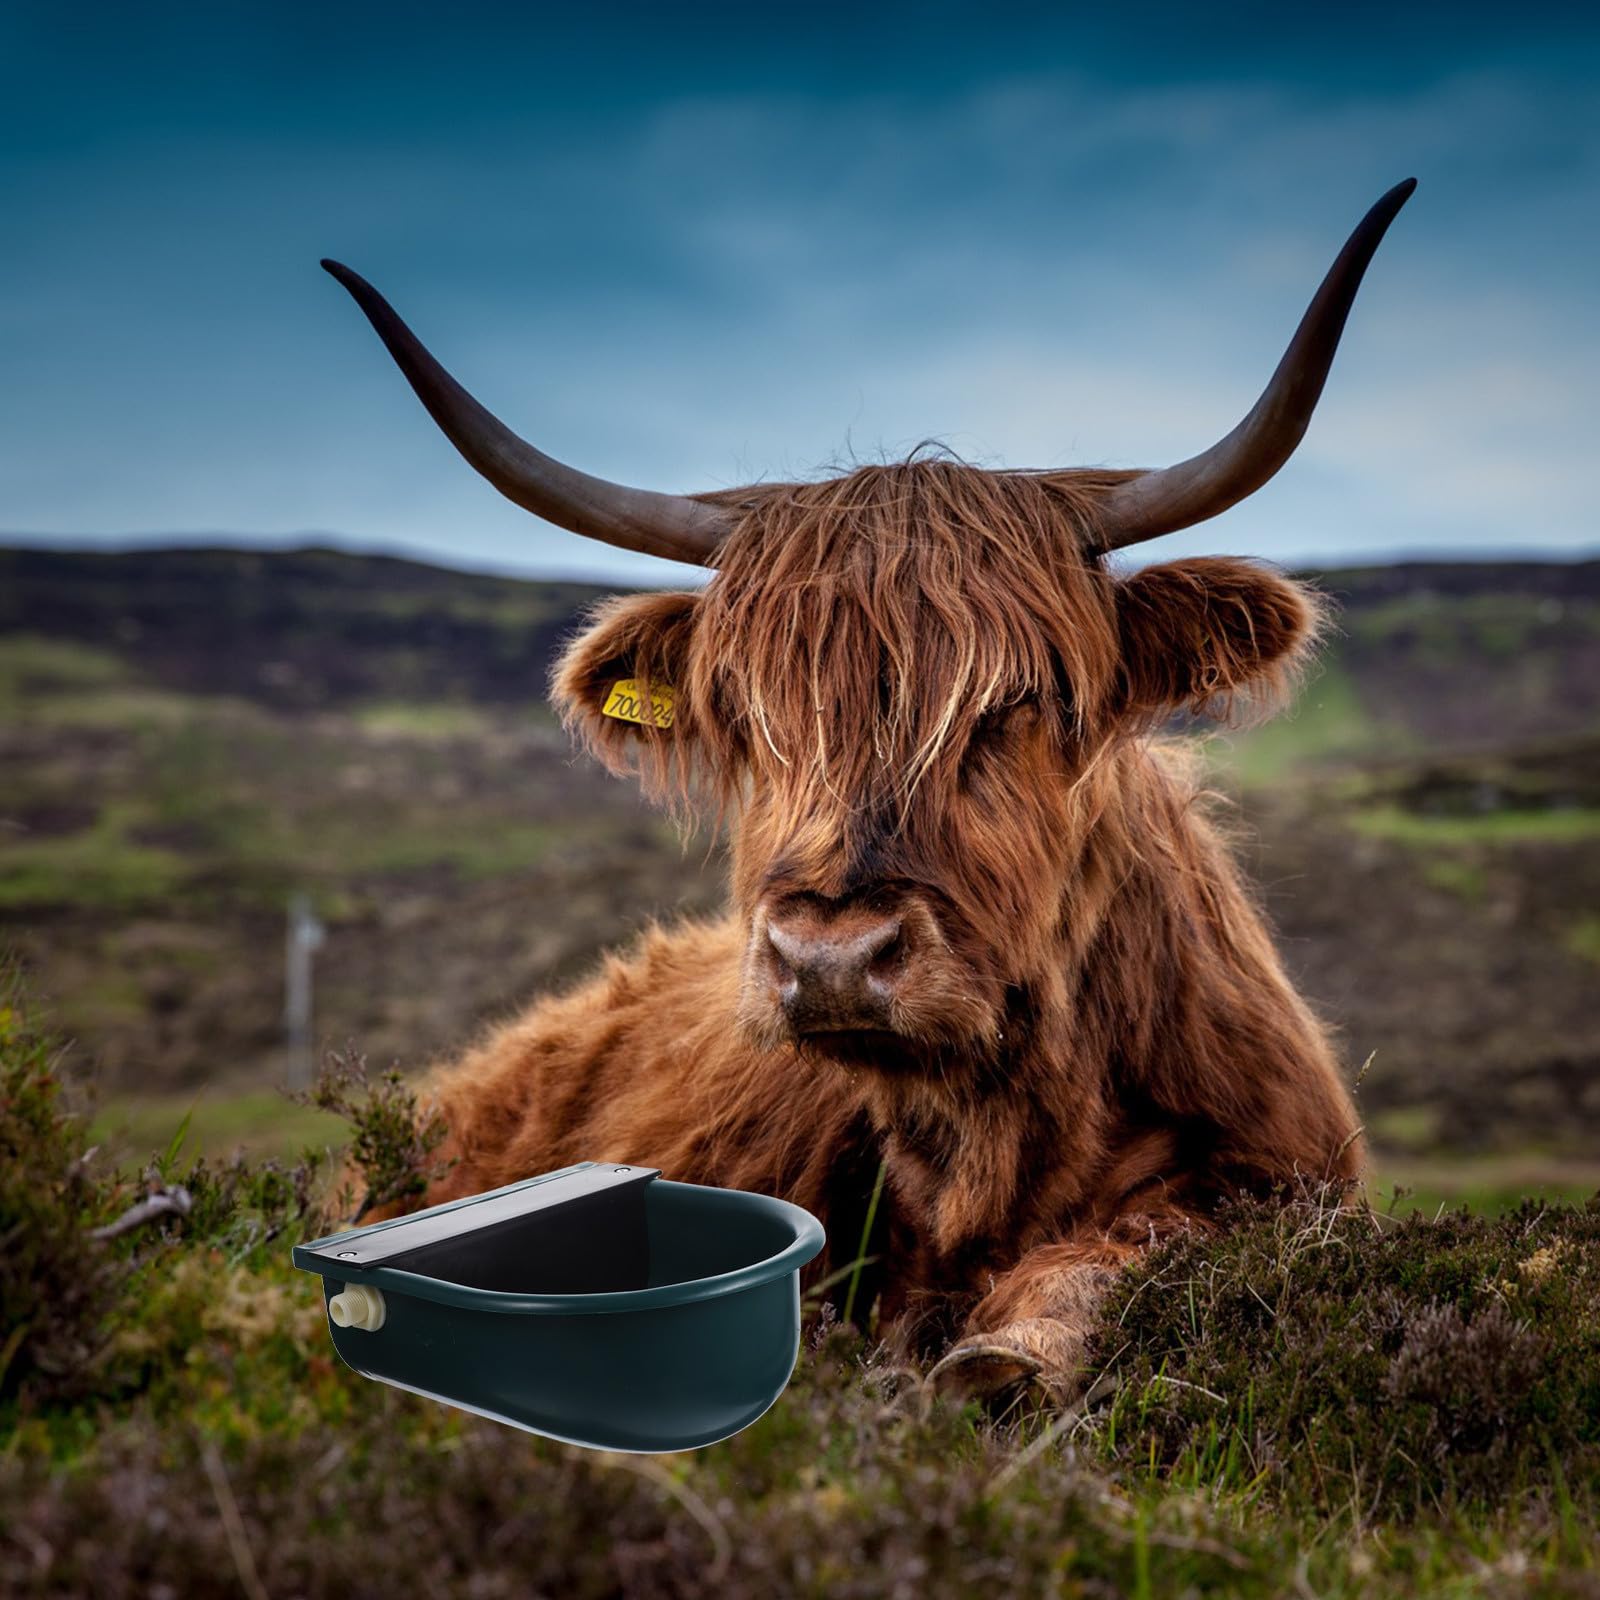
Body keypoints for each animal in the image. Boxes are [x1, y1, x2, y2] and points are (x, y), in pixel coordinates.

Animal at [320, 179, 1414, 1401]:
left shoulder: (1278, 1180)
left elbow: (1135, 1248)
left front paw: (1006, 1352)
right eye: (747, 713)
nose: (830, 958)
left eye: (1018, 700)